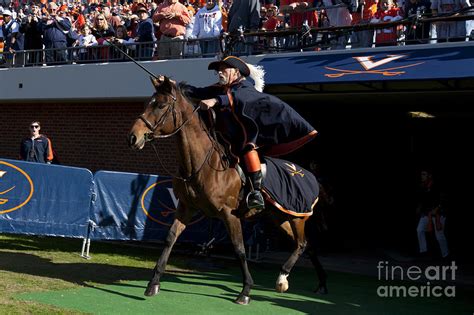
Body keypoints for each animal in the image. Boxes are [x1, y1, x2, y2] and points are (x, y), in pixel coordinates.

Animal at [126, 76, 328, 306]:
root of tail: (309, 175)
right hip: (281, 217)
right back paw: (319, 283)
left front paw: (246, 290)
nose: (133, 137)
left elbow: (239, 249)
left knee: (302, 244)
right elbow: (170, 239)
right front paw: (153, 283)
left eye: (160, 105)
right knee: (307, 246)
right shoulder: (186, 208)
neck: (203, 165)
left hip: (297, 217)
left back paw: (282, 278)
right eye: (146, 104)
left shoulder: (229, 214)